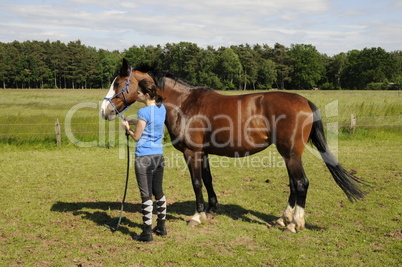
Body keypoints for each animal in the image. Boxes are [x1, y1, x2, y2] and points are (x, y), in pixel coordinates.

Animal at [99, 59, 364, 234]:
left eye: (118, 82)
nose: (104, 111)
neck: (185, 103)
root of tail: (305, 101)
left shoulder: (192, 153)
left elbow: (196, 183)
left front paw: (196, 216)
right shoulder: (203, 153)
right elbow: (207, 180)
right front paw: (211, 210)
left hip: (290, 154)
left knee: (301, 183)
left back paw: (294, 224)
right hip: (288, 155)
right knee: (293, 184)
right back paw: (283, 219)